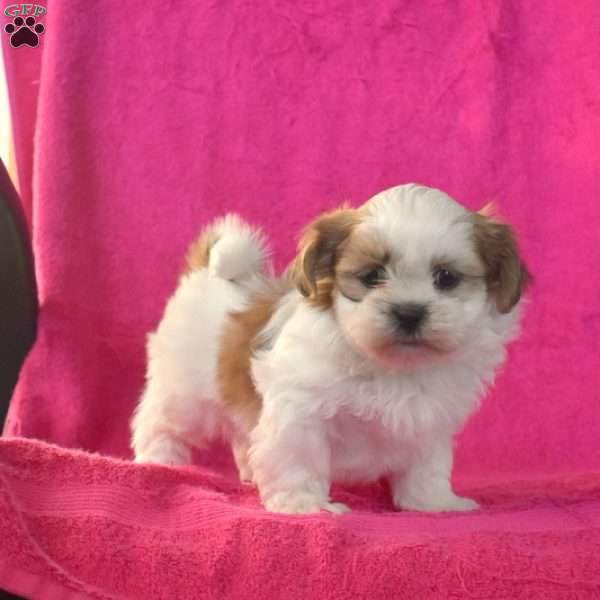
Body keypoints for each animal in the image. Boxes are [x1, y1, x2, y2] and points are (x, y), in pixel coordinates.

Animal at [132, 184, 528, 516]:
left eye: (446, 278)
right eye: (371, 276)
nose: (409, 312)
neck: (392, 367)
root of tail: (208, 275)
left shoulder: (429, 421)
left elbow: (427, 464)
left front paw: (434, 502)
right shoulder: (299, 411)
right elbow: (299, 456)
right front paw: (303, 504)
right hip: (184, 390)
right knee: (160, 421)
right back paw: (159, 460)